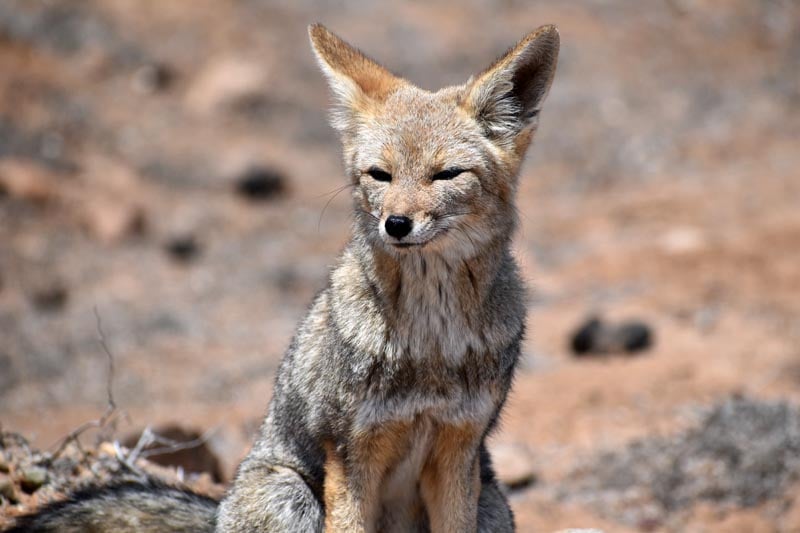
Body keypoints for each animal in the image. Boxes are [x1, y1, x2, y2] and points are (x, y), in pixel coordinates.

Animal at [6, 21, 560, 532]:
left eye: (446, 175)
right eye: (380, 175)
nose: (396, 224)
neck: (431, 342)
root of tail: (218, 512)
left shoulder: (459, 450)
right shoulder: (350, 452)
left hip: (491, 503)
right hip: (290, 494)